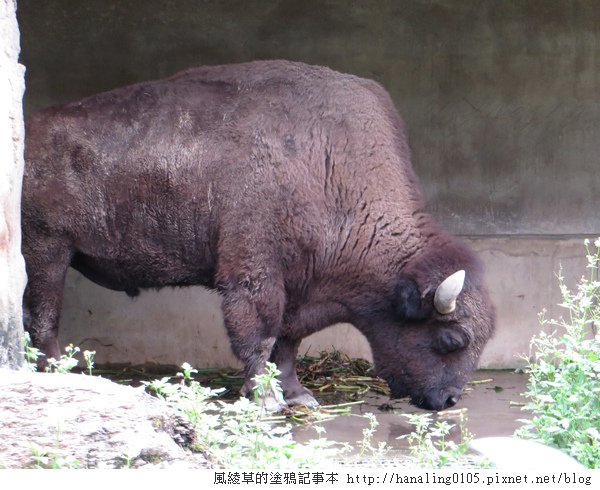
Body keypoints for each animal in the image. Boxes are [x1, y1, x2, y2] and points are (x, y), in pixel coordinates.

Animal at [22, 62, 492, 414]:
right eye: (451, 340)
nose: (448, 401)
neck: (329, 164)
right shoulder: (254, 274)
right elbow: (260, 335)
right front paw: (264, 400)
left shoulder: (300, 287)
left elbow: (287, 342)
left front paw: (298, 396)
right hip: (47, 252)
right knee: (42, 317)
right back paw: (56, 376)